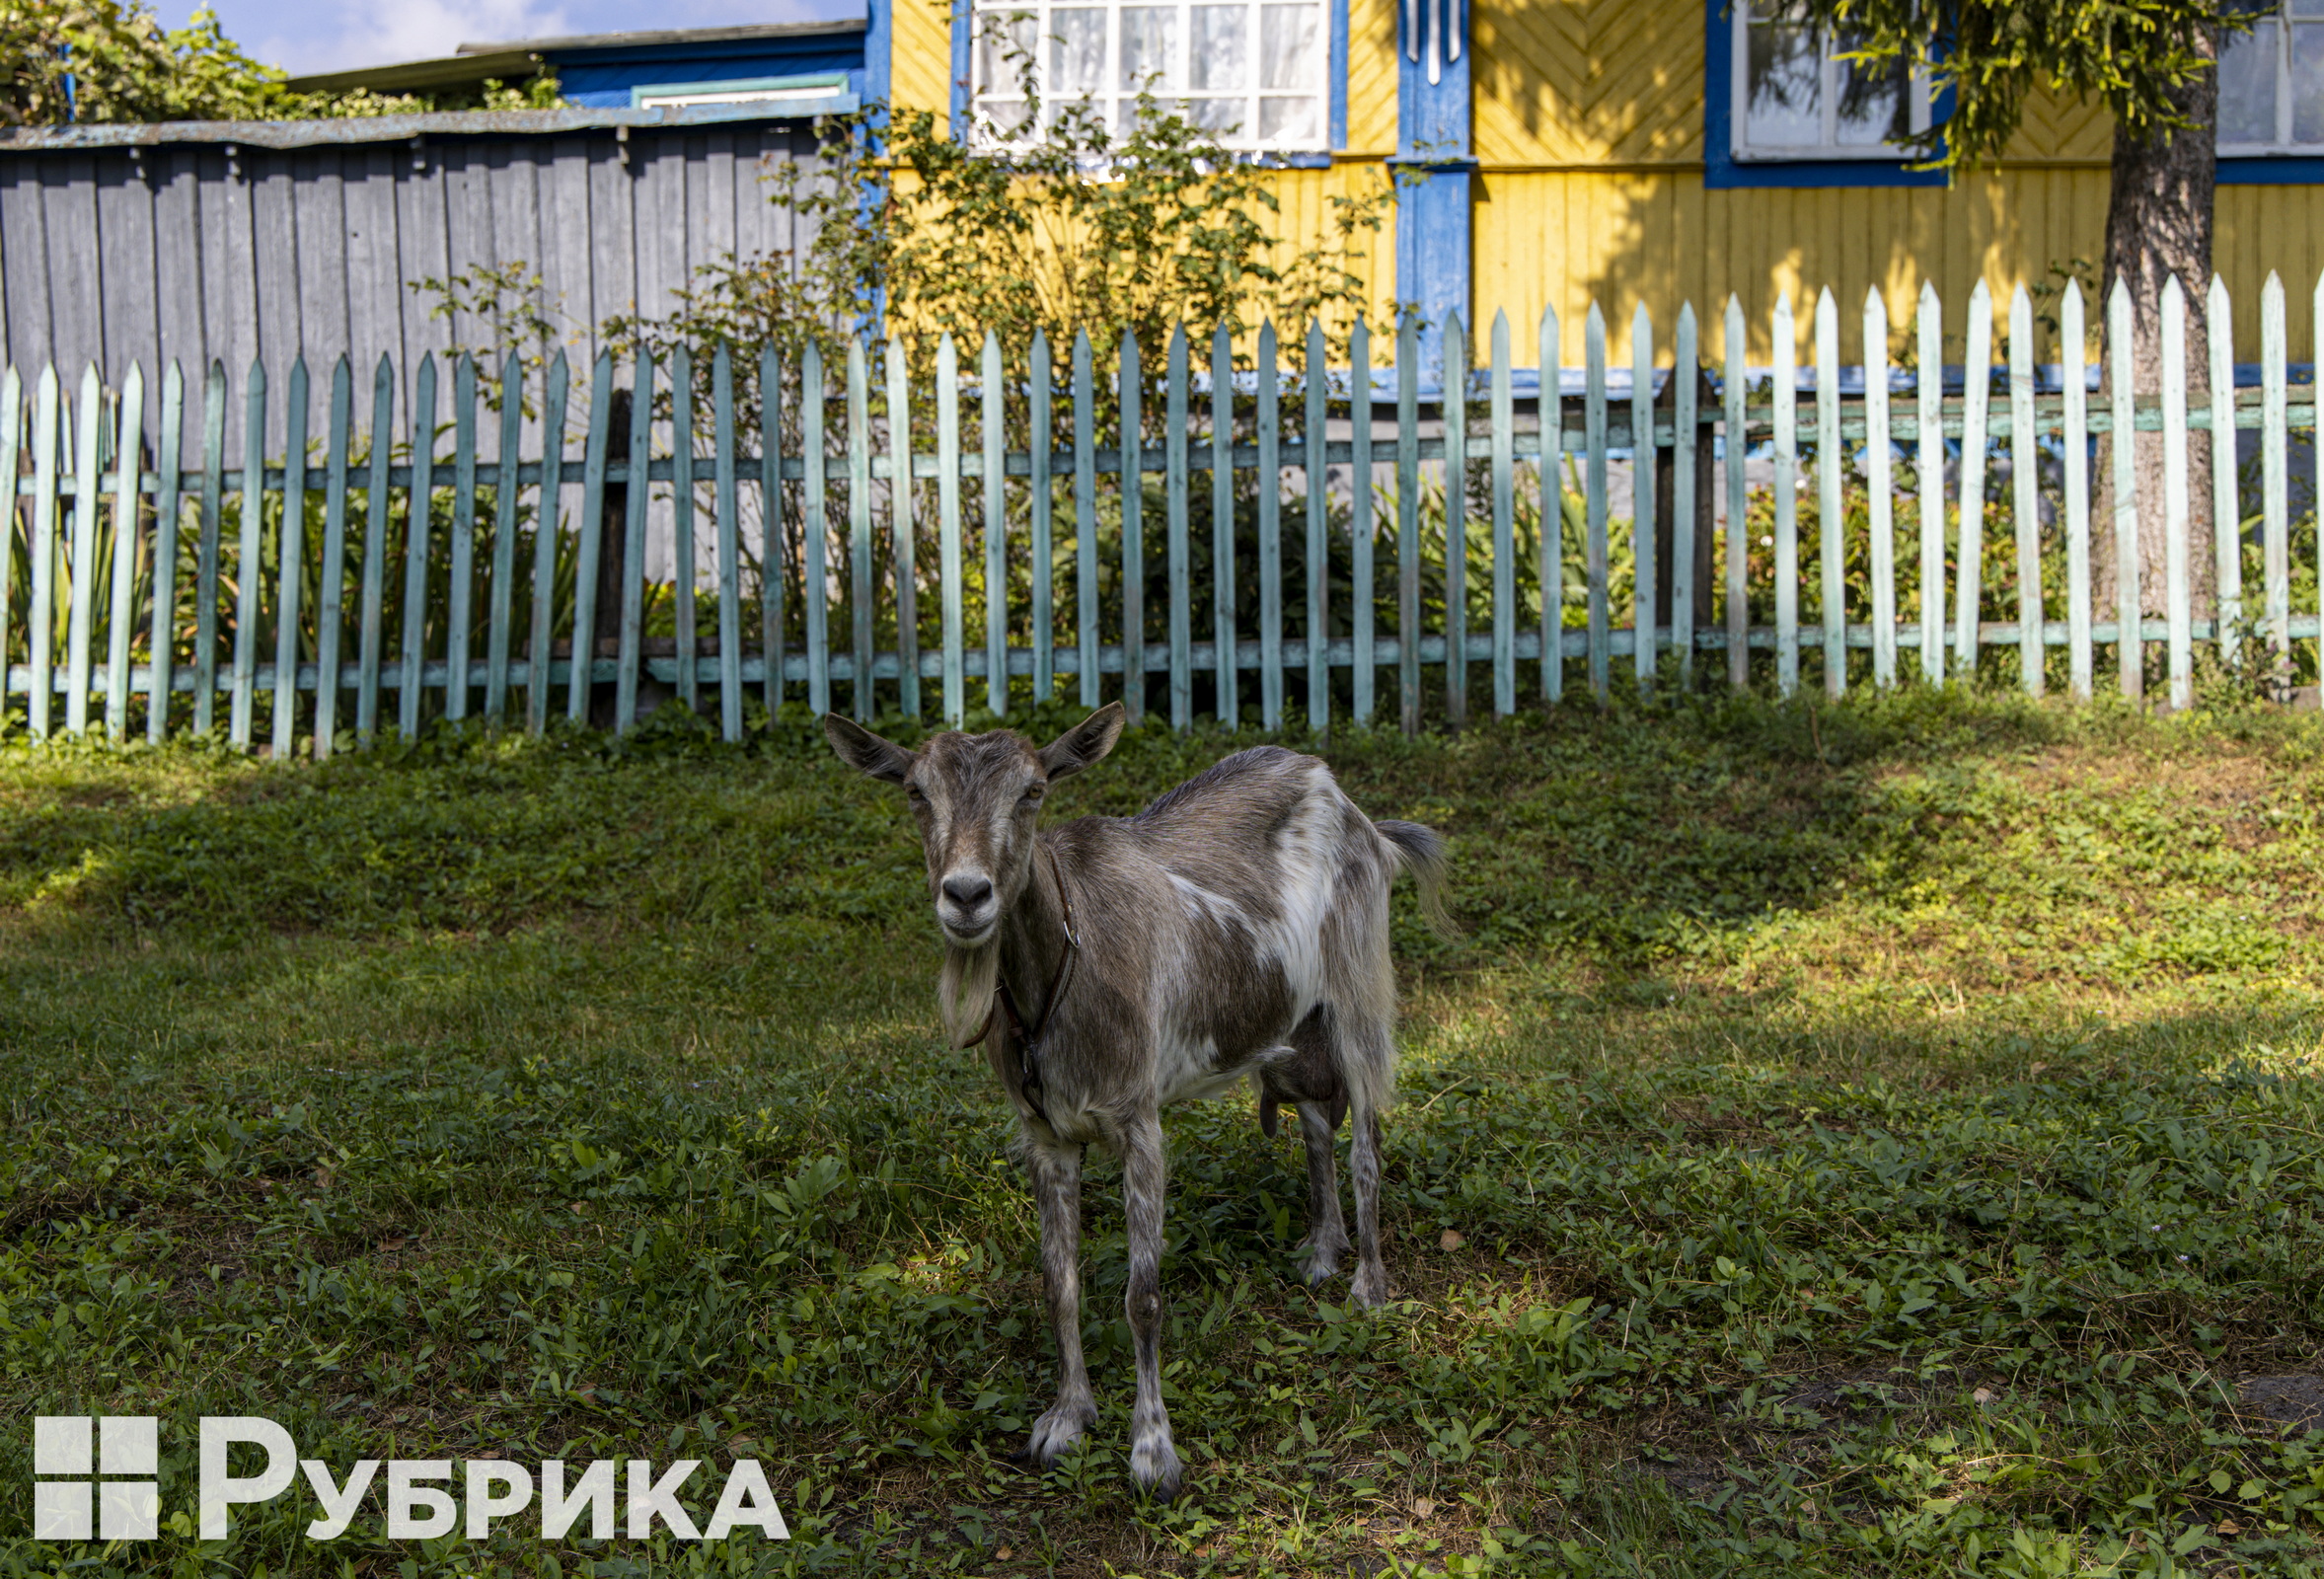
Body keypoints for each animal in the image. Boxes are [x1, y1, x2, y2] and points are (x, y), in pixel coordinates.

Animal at [827, 707, 1441, 1506]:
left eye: (1032, 790)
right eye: (913, 791)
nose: (966, 895)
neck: (1066, 969)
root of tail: (1354, 808)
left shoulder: (1139, 1123)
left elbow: (1142, 1296)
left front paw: (1153, 1453)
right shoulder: (1046, 1136)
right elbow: (1058, 1283)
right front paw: (1066, 1419)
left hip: (1358, 982)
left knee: (1367, 1135)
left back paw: (1368, 1285)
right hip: (1294, 1022)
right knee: (1313, 1123)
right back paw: (1320, 1251)